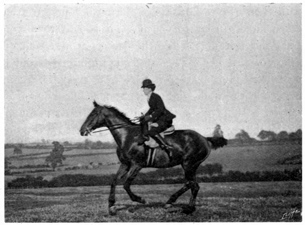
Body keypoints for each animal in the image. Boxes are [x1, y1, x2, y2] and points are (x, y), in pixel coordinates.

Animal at [79, 101, 227, 215]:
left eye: (93, 114)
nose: (81, 130)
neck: (127, 136)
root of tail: (205, 139)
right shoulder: (125, 164)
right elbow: (114, 181)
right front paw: (111, 207)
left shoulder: (137, 165)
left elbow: (126, 184)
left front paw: (140, 200)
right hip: (190, 166)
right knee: (190, 184)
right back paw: (173, 203)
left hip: (189, 164)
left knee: (194, 185)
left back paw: (186, 208)